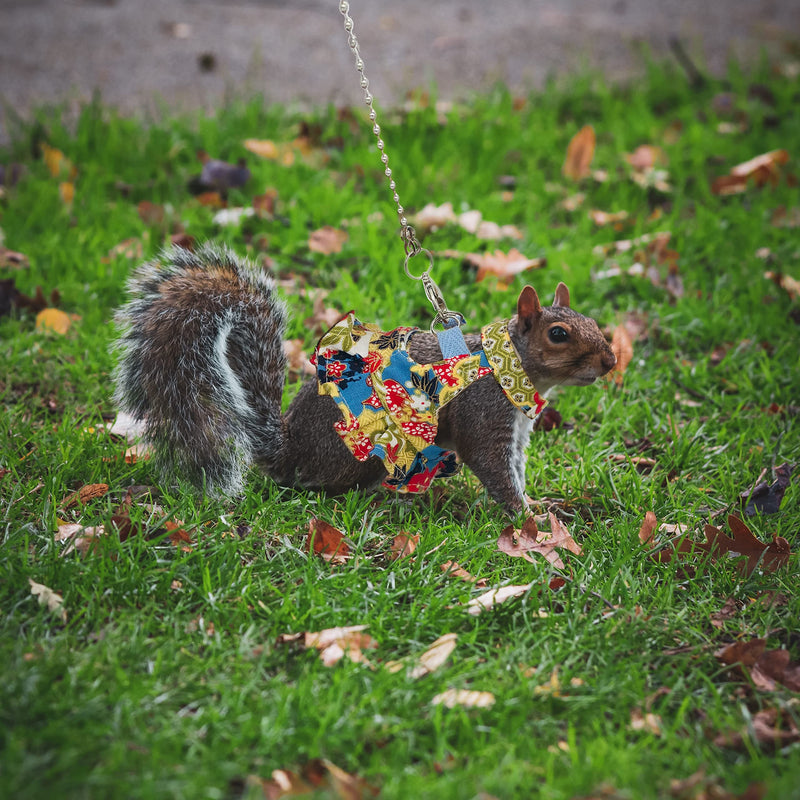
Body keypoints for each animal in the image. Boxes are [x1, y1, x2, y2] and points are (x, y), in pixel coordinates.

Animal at [112, 243, 616, 513]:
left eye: (592, 319)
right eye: (558, 334)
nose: (611, 362)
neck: (503, 367)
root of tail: (289, 453)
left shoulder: (515, 430)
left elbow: (515, 467)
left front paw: (539, 506)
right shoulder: (484, 417)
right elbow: (494, 468)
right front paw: (526, 517)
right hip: (372, 450)